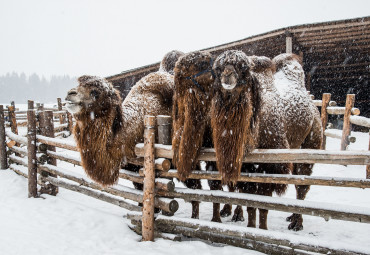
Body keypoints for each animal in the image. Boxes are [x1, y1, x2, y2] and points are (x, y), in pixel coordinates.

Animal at [211, 50, 324, 231]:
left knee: (302, 185)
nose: (227, 75)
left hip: (311, 142)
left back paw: (296, 223)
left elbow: (263, 205)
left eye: (243, 68)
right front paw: (247, 224)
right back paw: (291, 217)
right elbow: (249, 202)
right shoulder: (247, 166)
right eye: (218, 68)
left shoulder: (271, 166)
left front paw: (262, 229)